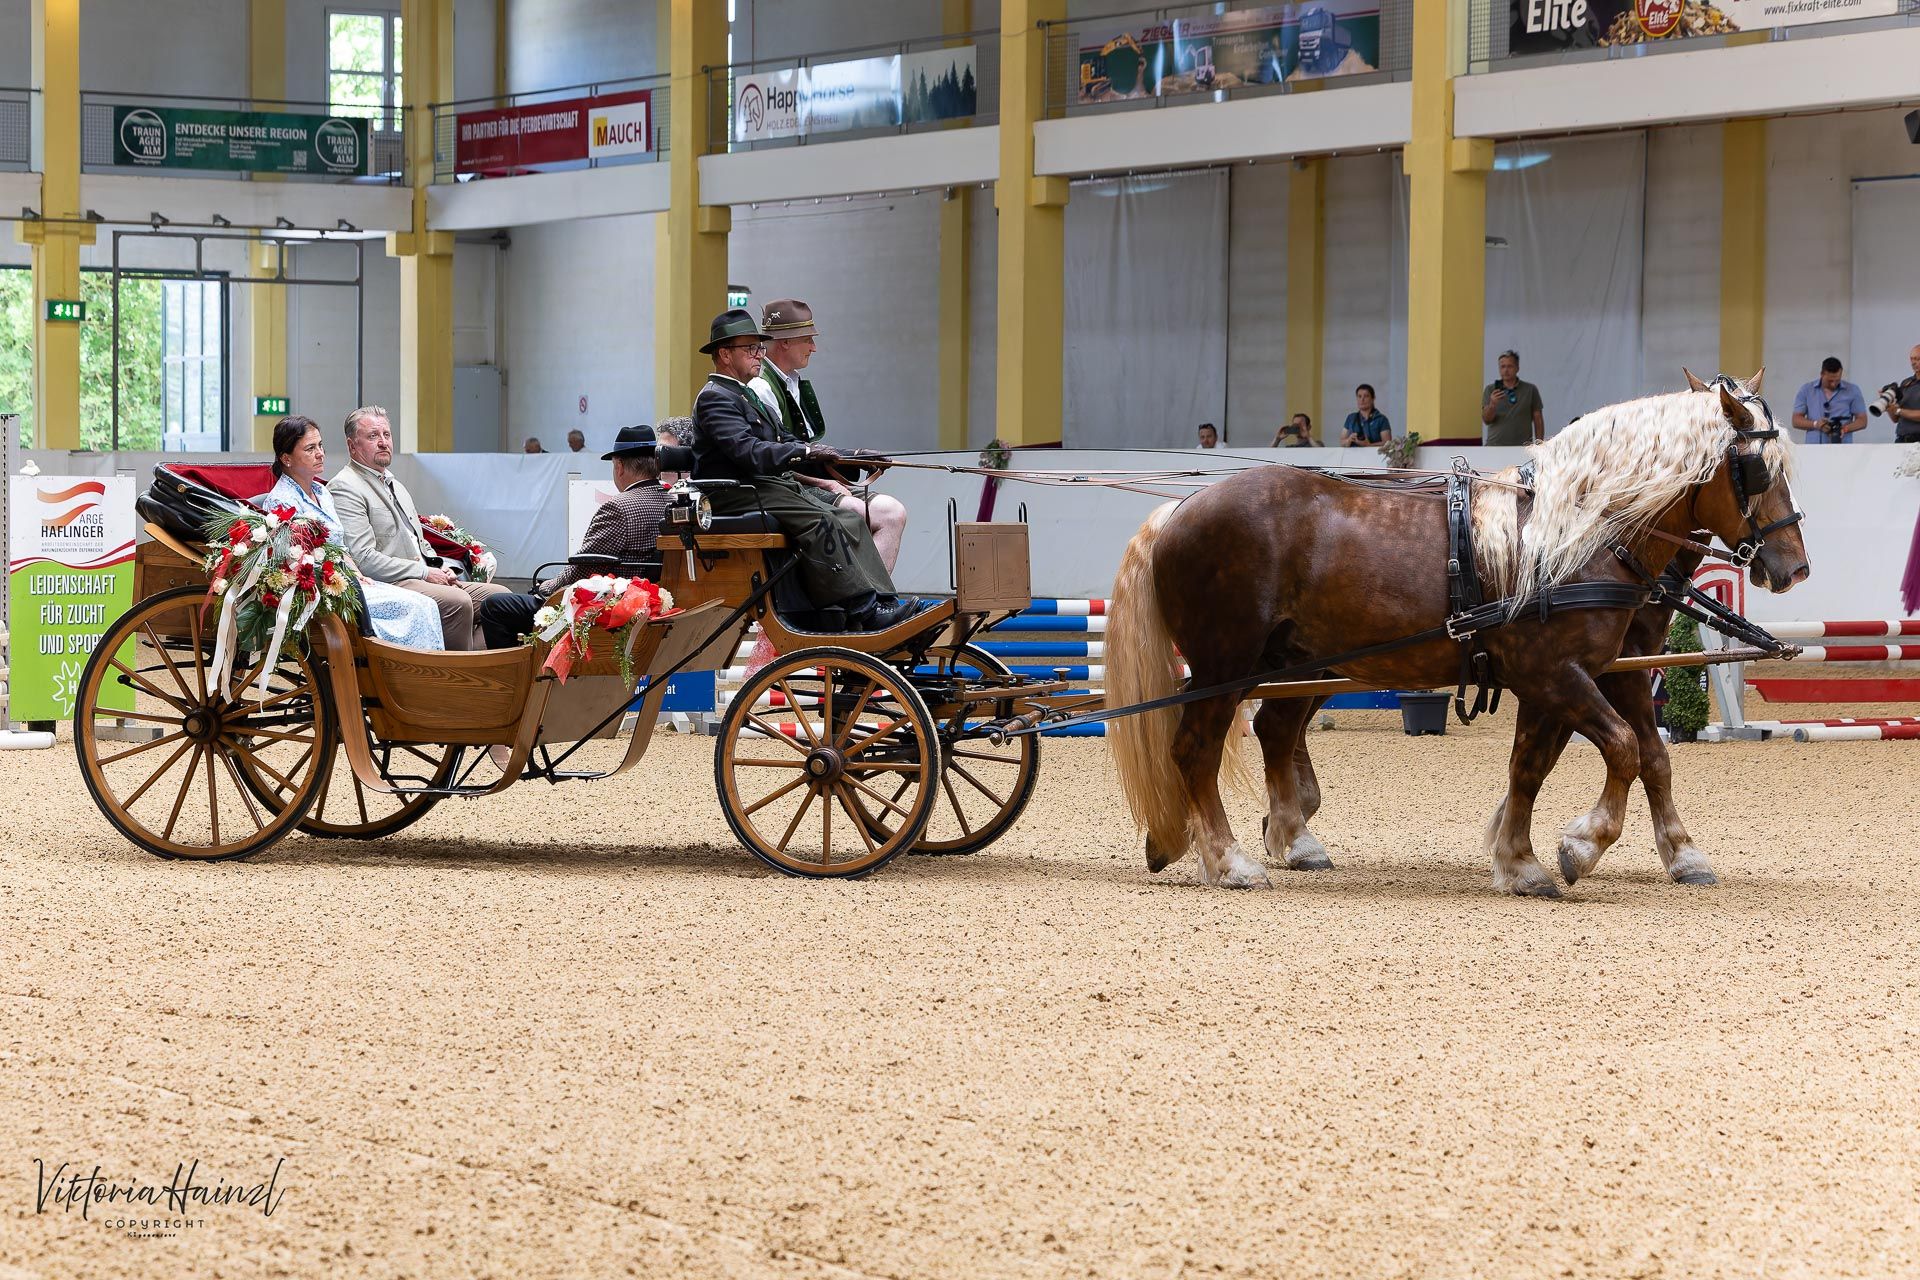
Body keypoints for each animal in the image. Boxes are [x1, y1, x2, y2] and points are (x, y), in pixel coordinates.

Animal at [1105, 373, 1810, 896]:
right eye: (1755, 469)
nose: (1793, 567)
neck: (1572, 538)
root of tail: (1181, 509)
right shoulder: (1556, 674)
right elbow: (1622, 750)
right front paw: (1579, 847)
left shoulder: (1582, 673)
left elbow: (1561, 763)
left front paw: (1525, 860)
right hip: (1227, 665)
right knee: (1198, 748)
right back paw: (1229, 861)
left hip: (1288, 660)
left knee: (1269, 731)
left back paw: (1261, 840)